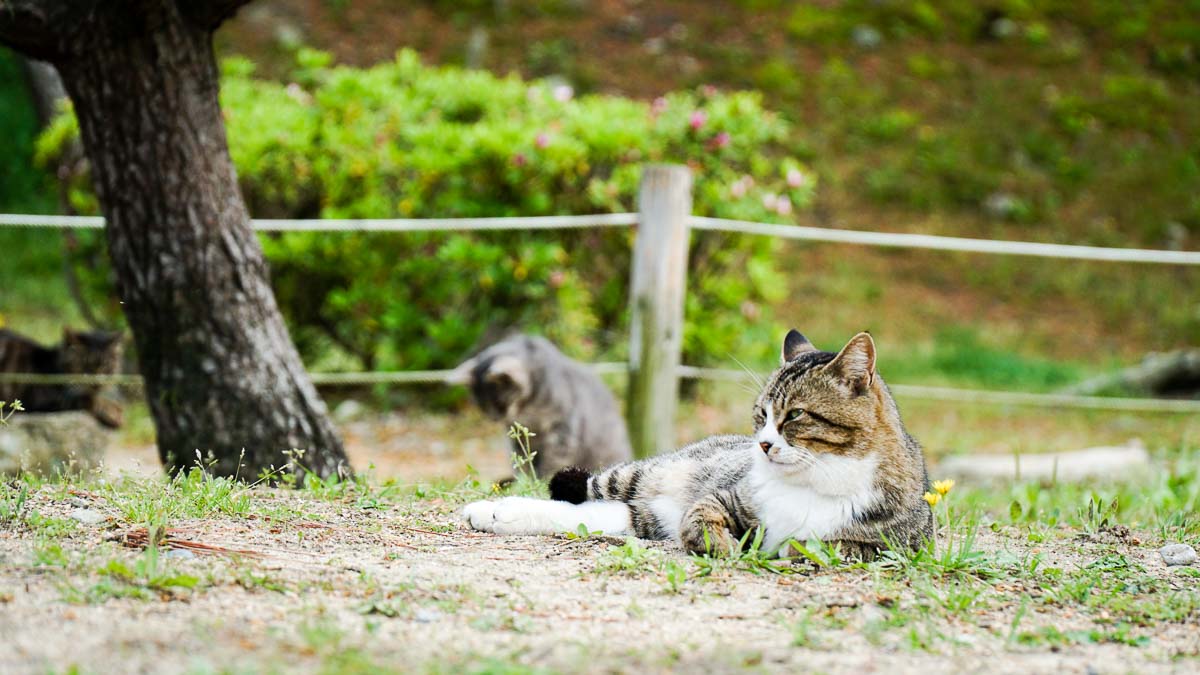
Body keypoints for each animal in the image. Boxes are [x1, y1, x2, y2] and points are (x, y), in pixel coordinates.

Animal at [441, 333, 628, 475]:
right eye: (483, 406)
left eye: (500, 403)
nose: (494, 418)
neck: (529, 407)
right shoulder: (518, 432)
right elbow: (523, 459)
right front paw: (527, 480)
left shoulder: (562, 428)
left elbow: (553, 460)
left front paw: (544, 478)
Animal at [460, 326, 936, 557]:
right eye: (762, 415)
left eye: (795, 415)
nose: (762, 445)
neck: (815, 480)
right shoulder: (725, 496)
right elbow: (701, 517)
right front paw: (717, 545)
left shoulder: (895, 543)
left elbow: (830, 544)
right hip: (640, 474)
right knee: (581, 491)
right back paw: (488, 510)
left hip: (637, 513)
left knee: (591, 515)